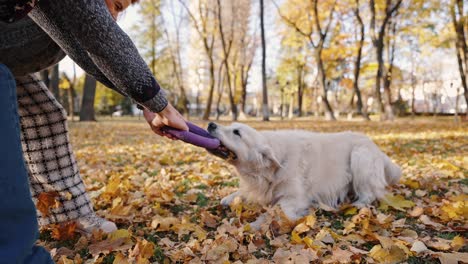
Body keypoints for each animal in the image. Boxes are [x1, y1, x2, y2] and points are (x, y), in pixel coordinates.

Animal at [208, 122, 402, 222]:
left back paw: (357, 204)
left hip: (360, 156)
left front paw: (256, 225)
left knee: (370, 194)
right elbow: (243, 192)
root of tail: (377, 149)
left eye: (236, 132)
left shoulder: (294, 198)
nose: (211, 124)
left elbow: (274, 213)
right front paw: (229, 197)